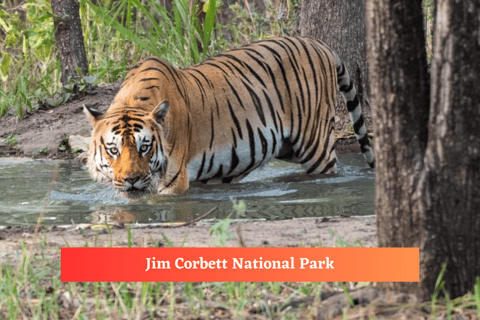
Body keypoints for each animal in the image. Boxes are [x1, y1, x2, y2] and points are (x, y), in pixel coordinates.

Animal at [84, 36, 374, 196]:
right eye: (113, 150)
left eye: (144, 147)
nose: (131, 180)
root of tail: (318, 43)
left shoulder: (173, 182)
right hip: (286, 146)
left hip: (315, 145)